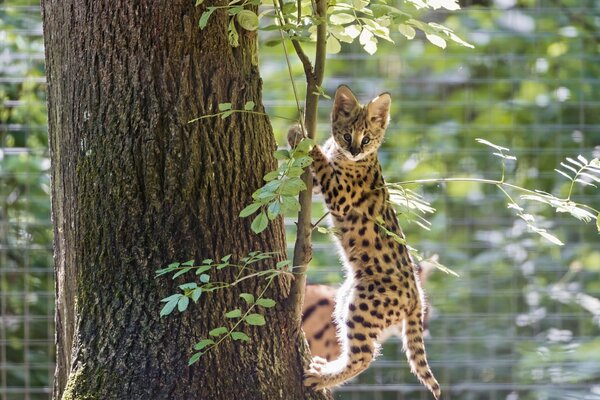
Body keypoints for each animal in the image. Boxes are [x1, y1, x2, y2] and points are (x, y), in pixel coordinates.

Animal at [290, 86, 440, 398]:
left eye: (367, 138)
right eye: (347, 135)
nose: (355, 150)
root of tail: (416, 297)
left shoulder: (339, 195)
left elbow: (320, 162)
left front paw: (301, 138)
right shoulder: (325, 186)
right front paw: (296, 139)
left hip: (363, 306)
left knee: (365, 355)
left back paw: (322, 377)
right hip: (346, 298)